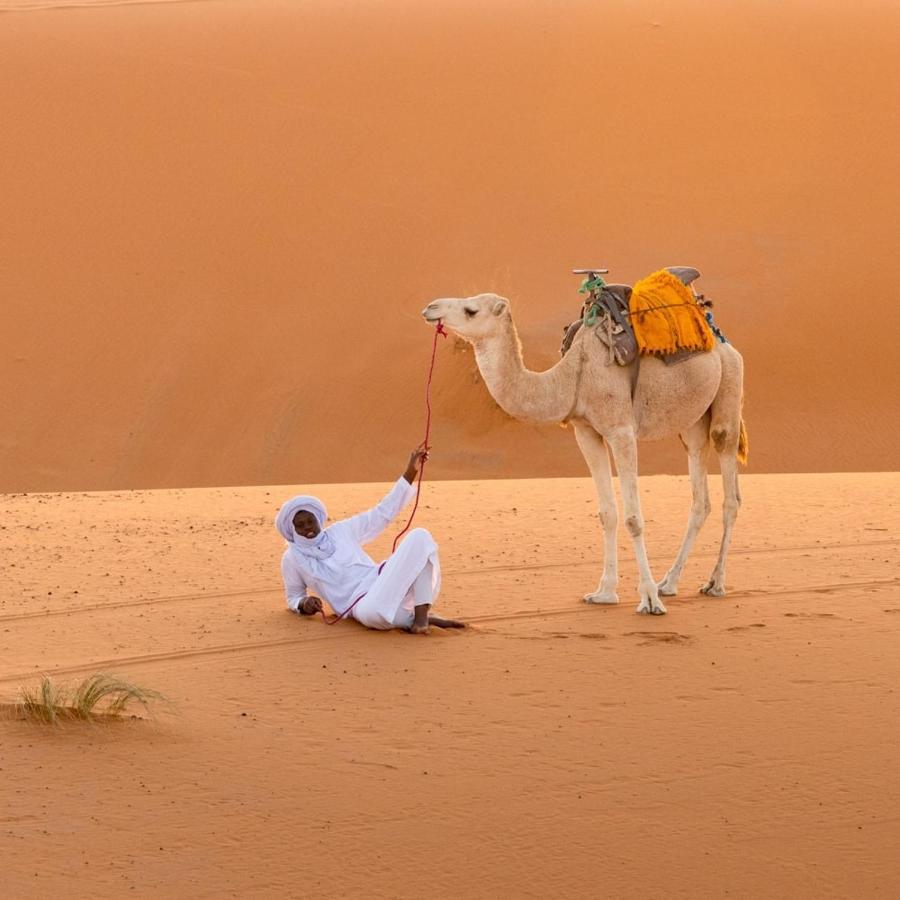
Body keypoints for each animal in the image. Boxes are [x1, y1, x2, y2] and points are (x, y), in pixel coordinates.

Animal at [422, 284, 744, 620]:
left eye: (471, 310)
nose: (430, 308)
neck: (574, 375)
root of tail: (724, 343)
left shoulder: (621, 431)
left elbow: (633, 518)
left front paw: (649, 600)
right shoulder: (586, 432)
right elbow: (608, 513)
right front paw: (604, 592)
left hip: (729, 392)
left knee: (729, 492)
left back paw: (715, 583)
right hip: (693, 424)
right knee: (700, 498)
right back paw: (669, 582)